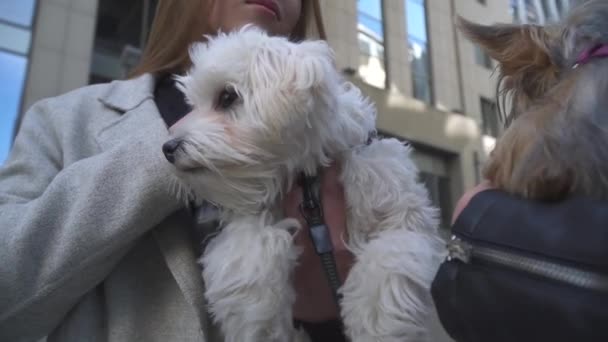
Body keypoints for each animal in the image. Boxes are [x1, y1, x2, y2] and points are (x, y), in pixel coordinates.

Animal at [164, 25, 444, 340]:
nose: (168, 148)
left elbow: (389, 260)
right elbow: (250, 254)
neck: (307, 179)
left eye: (227, 97)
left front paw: (376, 327)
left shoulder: (400, 211)